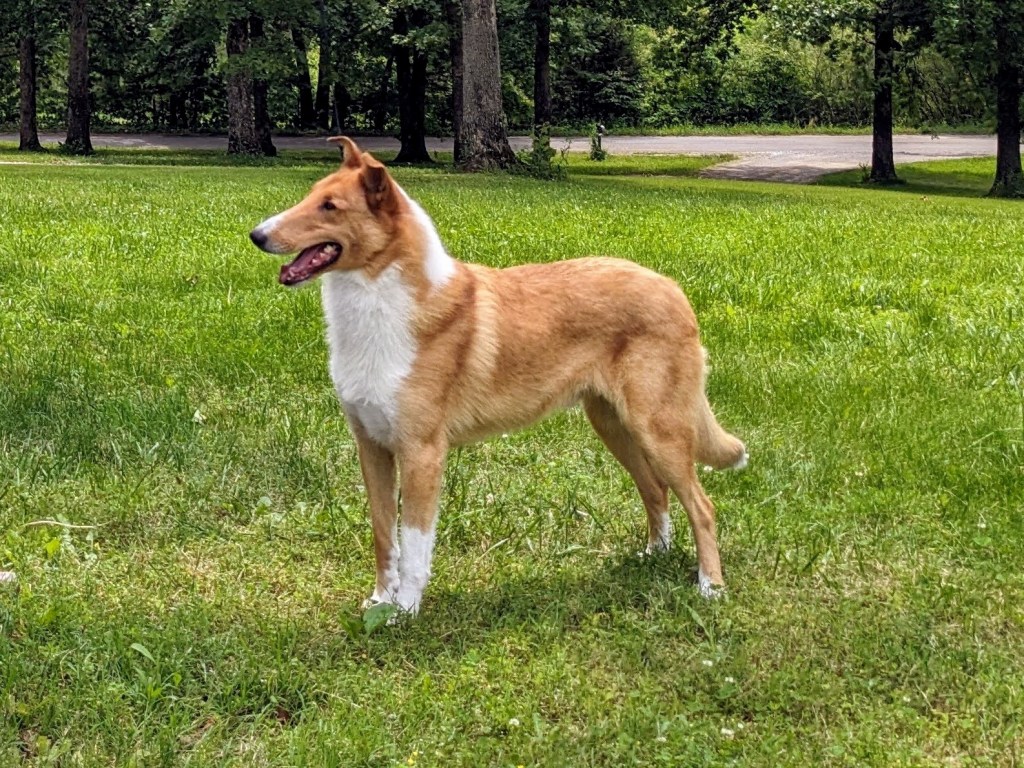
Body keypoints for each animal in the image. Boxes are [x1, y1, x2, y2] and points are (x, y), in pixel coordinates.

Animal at [249, 137, 747, 616]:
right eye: (311, 195)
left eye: (330, 207)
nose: (256, 235)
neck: (382, 303)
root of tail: (674, 289)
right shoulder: (371, 446)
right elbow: (383, 534)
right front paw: (379, 600)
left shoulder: (422, 453)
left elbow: (414, 543)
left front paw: (405, 610)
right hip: (614, 425)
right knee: (655, 489)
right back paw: (652, 555)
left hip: (657, 428)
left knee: (702, 505)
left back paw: (710, 586)